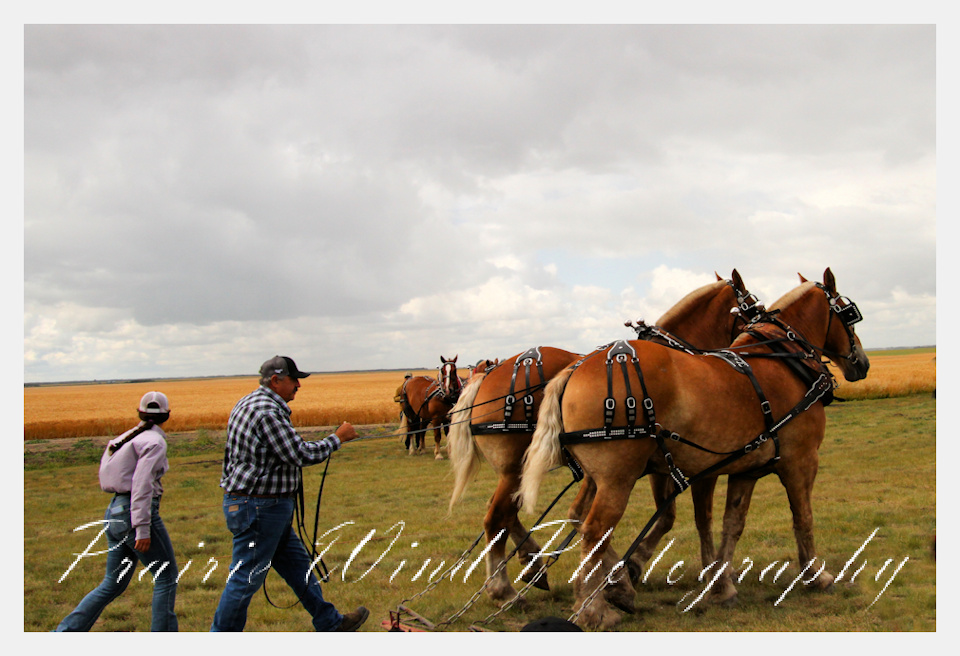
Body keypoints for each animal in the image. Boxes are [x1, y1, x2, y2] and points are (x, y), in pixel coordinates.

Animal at [448, 270, 763, 606]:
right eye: (753, 307)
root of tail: (486, 376)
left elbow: (582, 515)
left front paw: (618, 573)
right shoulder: (660, 464)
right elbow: (671, 516)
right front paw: (630, 570)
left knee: (505, 514)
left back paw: (531, 562)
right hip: (514, 468)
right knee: (497, 517)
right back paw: (506, 588)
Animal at [518, 268, 869, 629]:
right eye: (849, 314)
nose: (862, 362)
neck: (785, 361)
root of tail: (575, 368)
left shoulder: (744, 469)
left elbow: (731, 523)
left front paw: (722, 585)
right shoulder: (801, 461)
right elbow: (802, 517)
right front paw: (815, 575)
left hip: (599, 475)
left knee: (578, 516)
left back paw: (610, 587)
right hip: (618, 478)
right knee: (594, 531)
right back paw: (595, 607)